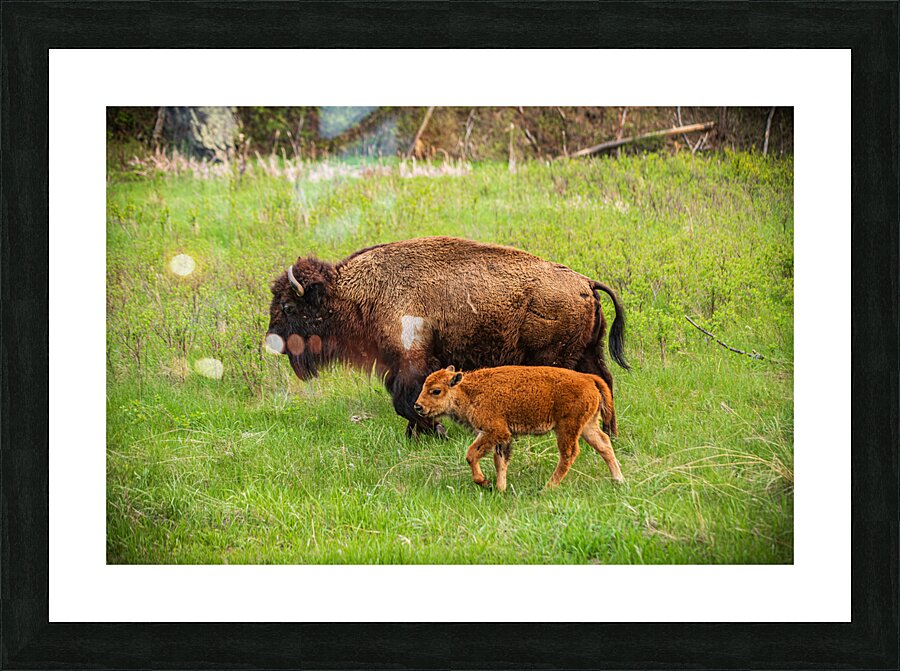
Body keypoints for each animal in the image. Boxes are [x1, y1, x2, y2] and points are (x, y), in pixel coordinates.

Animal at [266, 236, 628, 437]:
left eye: (287, 306)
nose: (272, 341)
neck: (356, 292)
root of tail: (586, 282)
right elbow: (408, 402)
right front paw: (421, 434)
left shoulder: (412, 362)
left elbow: (406, 402)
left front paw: (435, 432)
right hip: (588, 351)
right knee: (605, 382)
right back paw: (610, 432)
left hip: (557, 359)